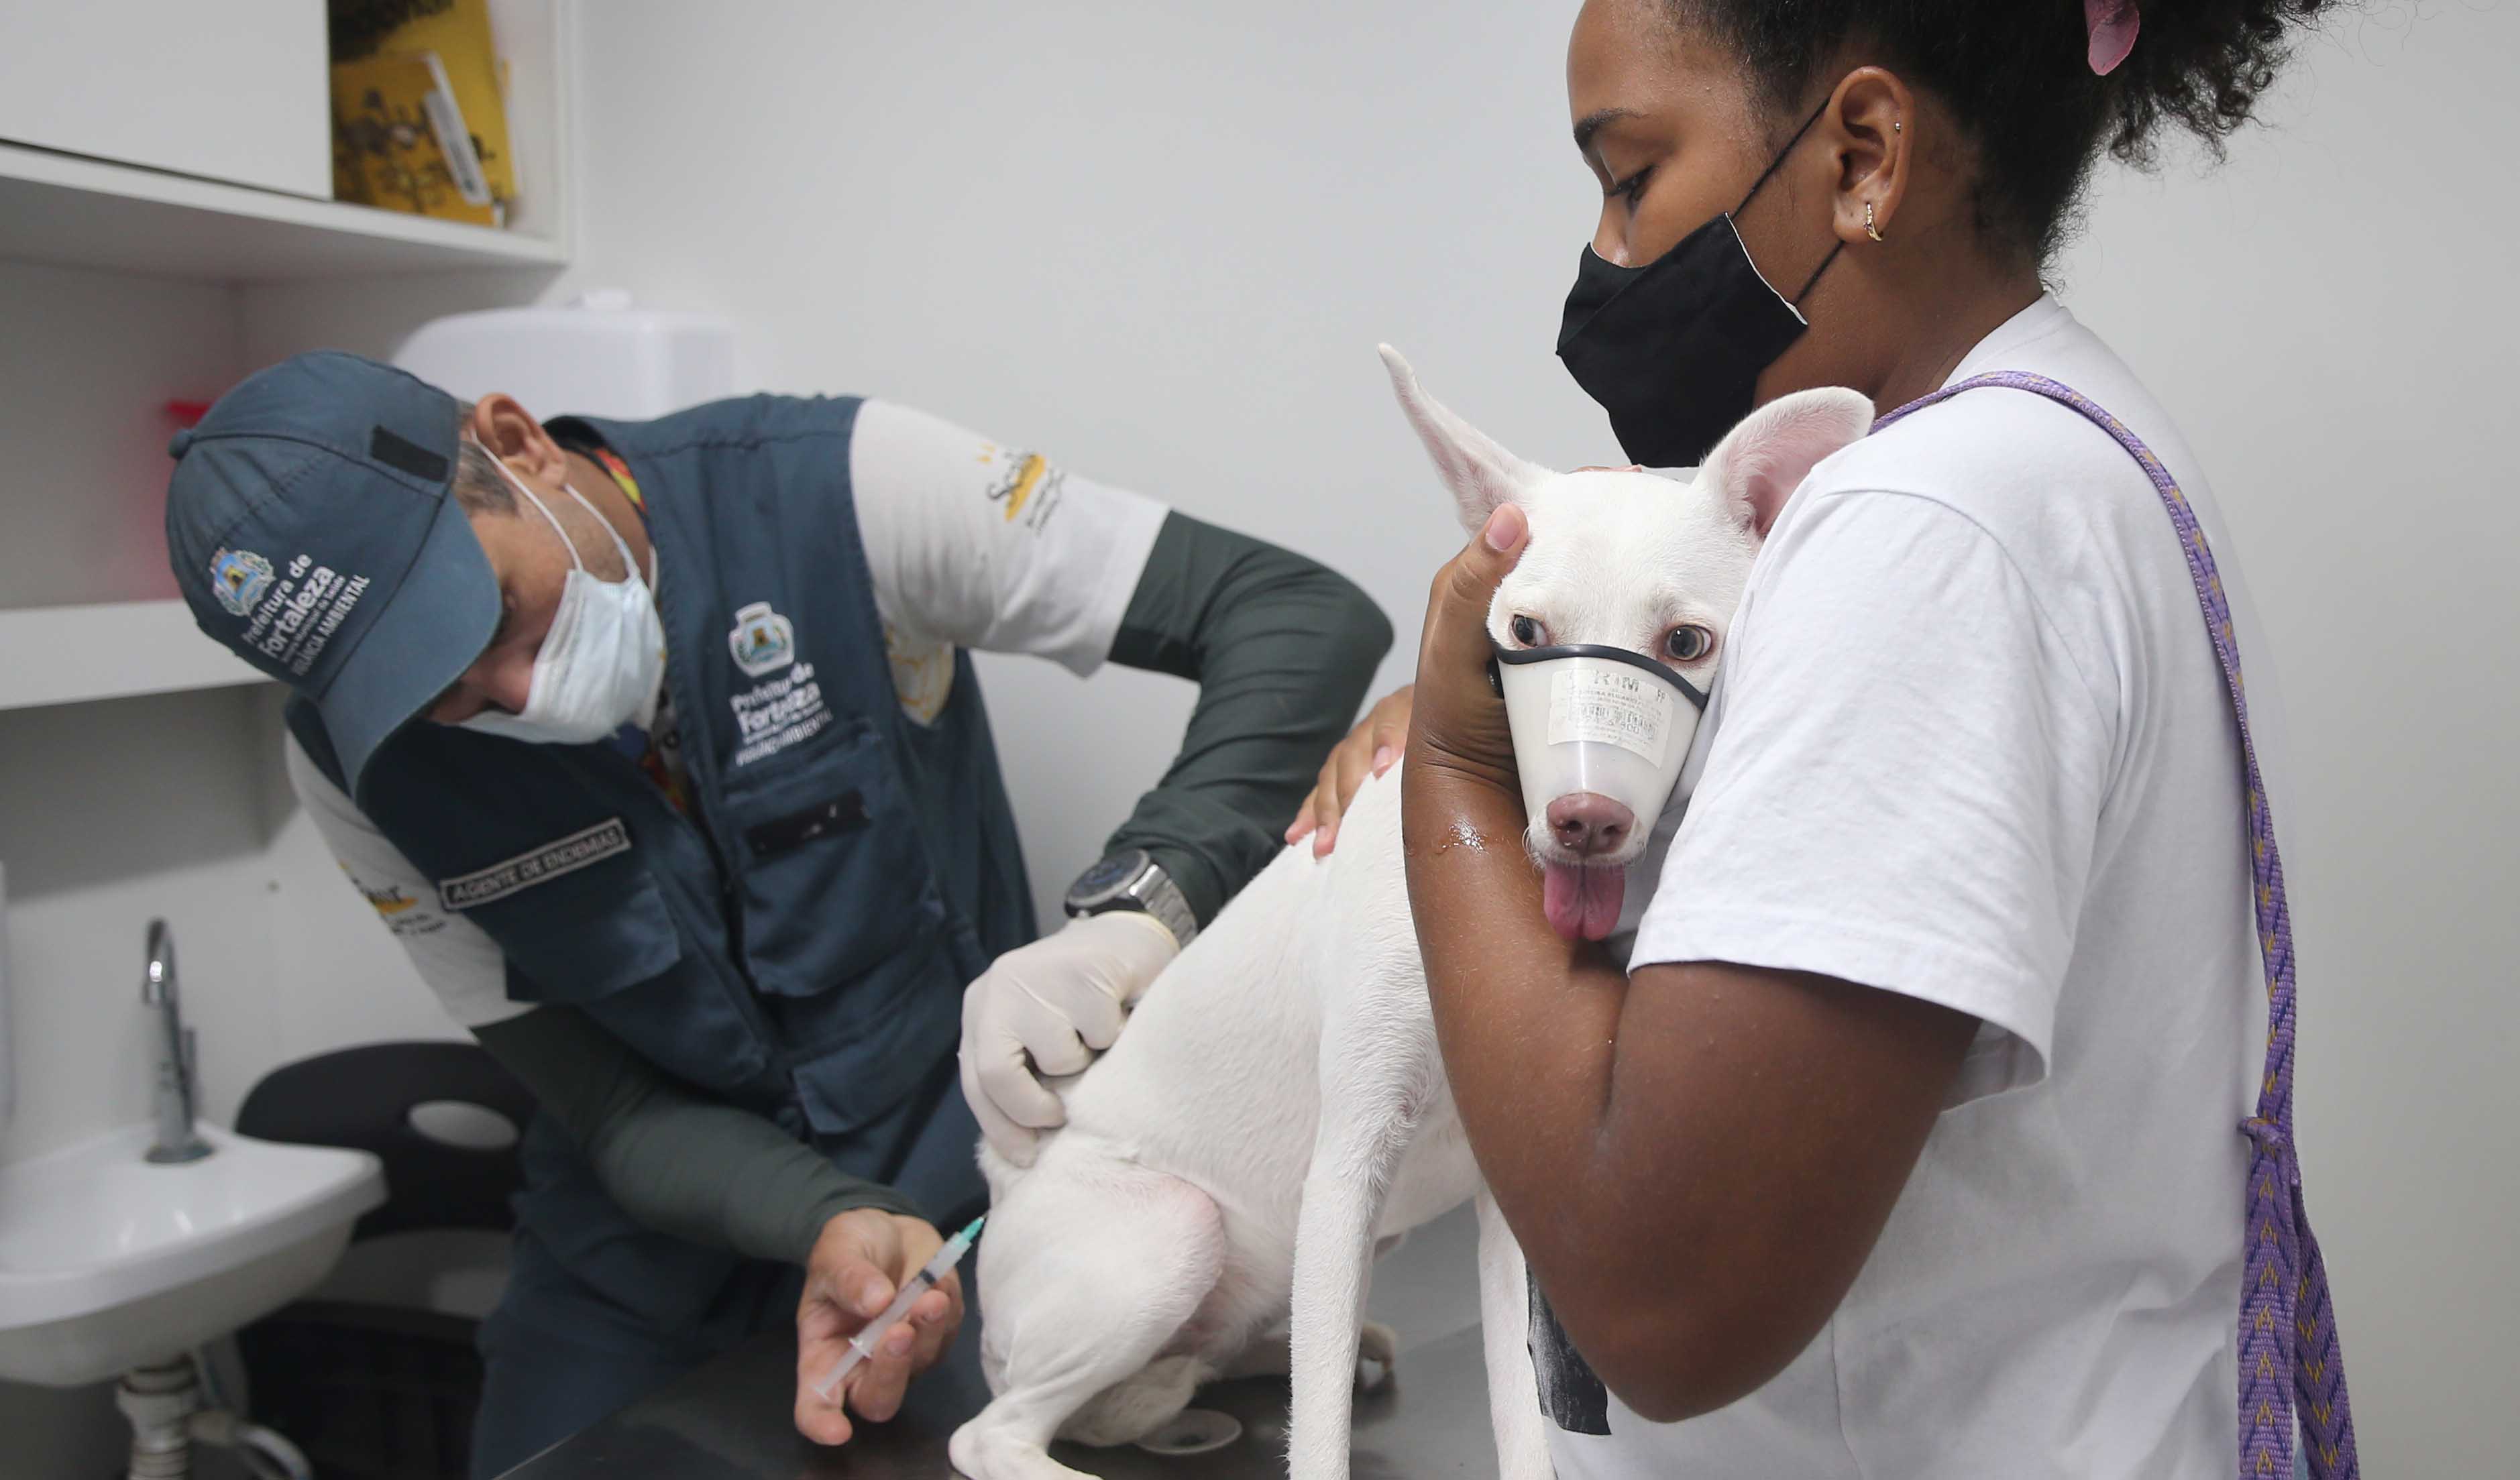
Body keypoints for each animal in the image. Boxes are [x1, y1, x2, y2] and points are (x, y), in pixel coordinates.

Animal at [947, 350, 1875, 1480]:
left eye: (1687, 641)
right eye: (1524, 634)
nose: (1585, 819)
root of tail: (1003, 1185)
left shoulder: (1518, 1206)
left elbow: (1521, 1415)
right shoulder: (1346, 1165)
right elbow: (1318, 1447)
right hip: (1169, 1232)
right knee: (992, 1431)